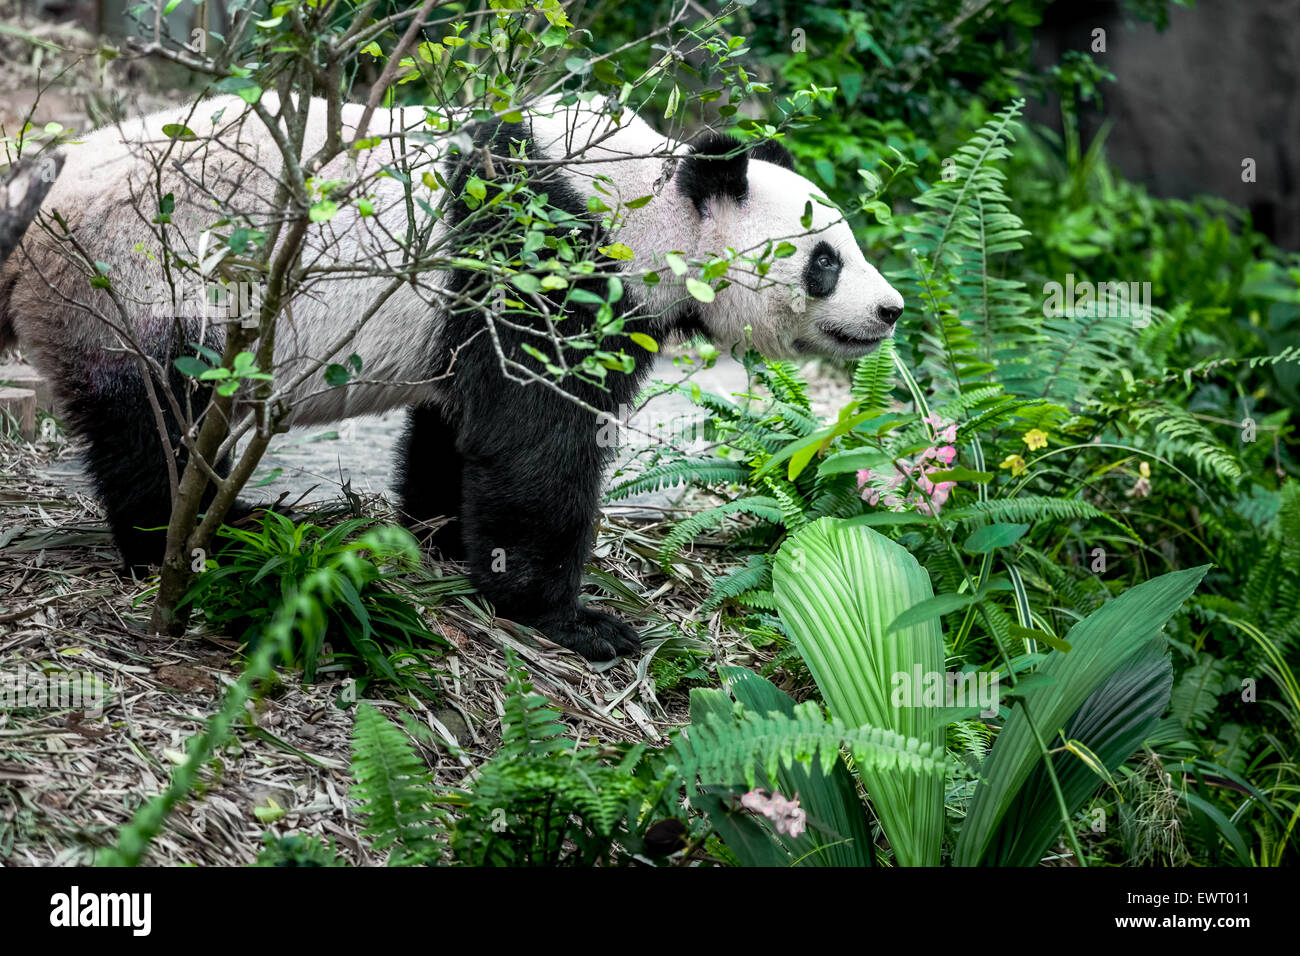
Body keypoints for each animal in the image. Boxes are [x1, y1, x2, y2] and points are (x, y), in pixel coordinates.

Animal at [0, 98, 904, 665]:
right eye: (826, 259)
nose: (890, 309)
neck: (639, 206)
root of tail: (42, 188)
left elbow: (459, 428)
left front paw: (440, 539)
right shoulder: (544, 260)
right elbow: (536, 441)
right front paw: (574, 621)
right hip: (141, 281)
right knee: (157, 424)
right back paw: (190, 542)